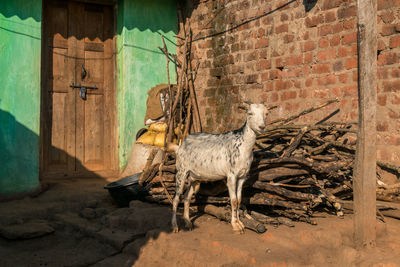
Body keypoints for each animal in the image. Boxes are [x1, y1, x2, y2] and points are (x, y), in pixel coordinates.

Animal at [169, 103, 268, 233]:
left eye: (266, 114)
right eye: (250, 113)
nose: (262, 127)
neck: (243, 145)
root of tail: (180, 146)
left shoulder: (242, 176)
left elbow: (239, 199)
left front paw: (240, 223)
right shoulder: (231, 176)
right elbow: (234, 200)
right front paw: (235, 225)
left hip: (194, 178)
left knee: (186, 197)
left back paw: (188, 222)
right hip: (181, 171)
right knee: (176, 198)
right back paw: (175, 226)